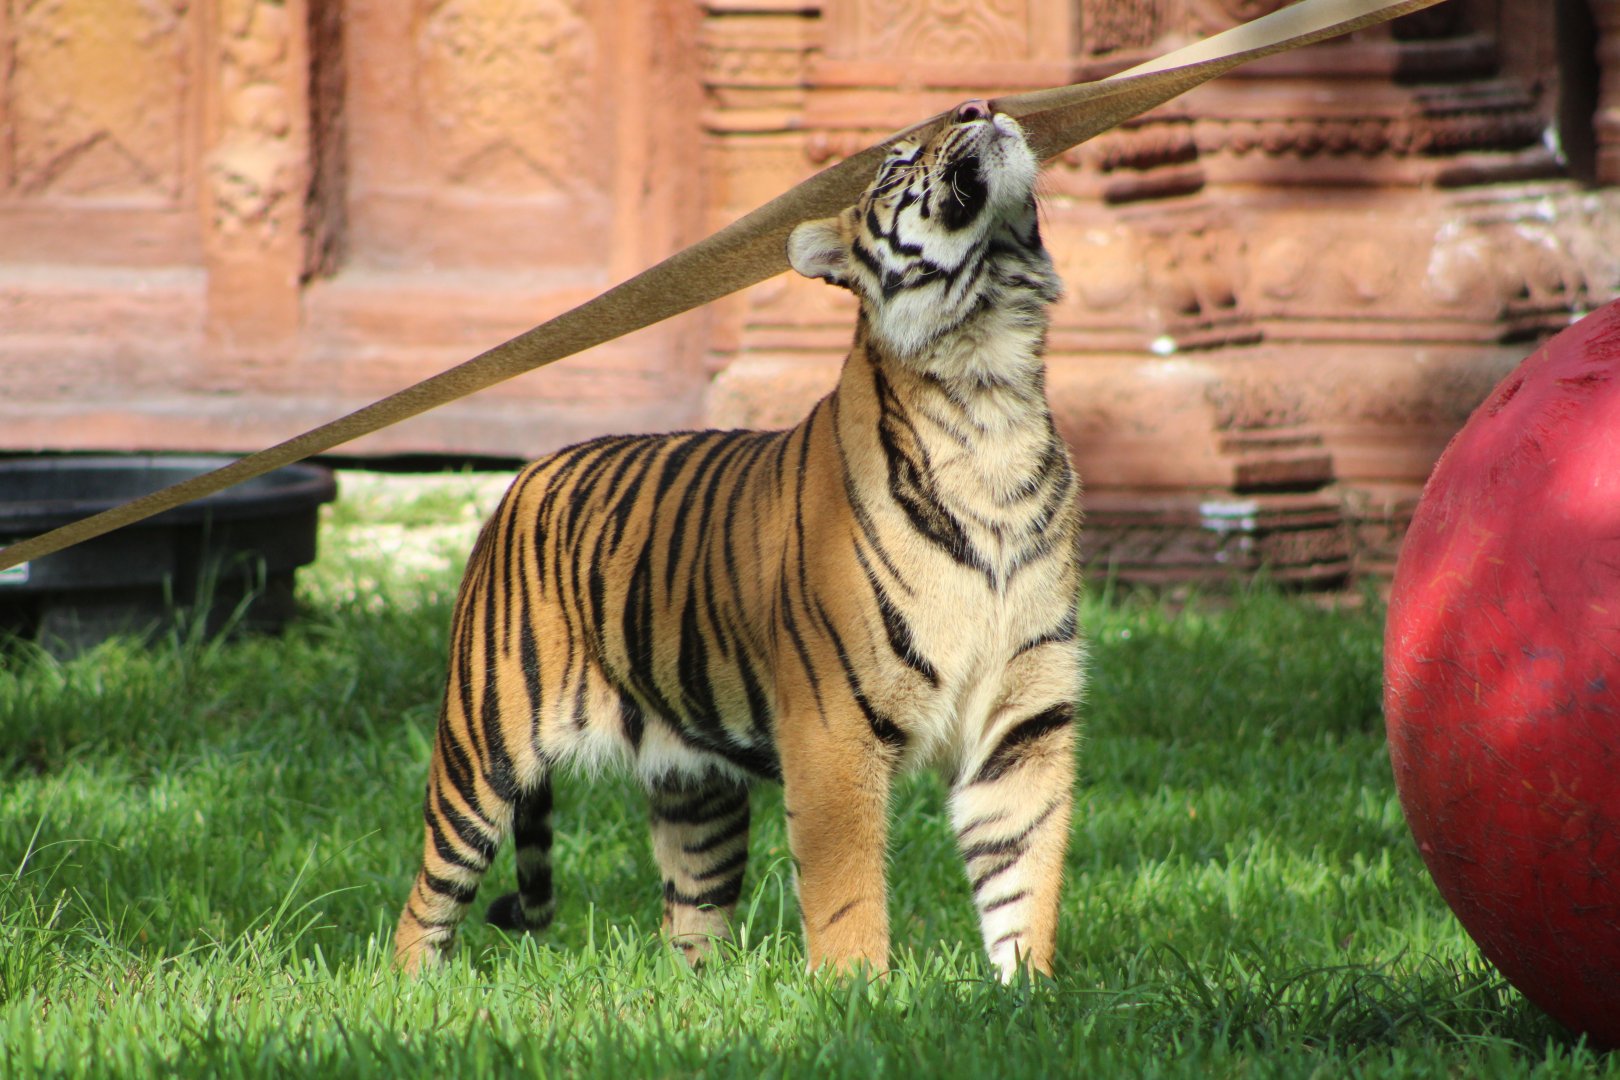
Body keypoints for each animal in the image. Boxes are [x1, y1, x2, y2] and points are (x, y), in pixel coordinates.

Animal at [394, 99, 1084, 981]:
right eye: (896, 164)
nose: (980, 106)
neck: (990, 379)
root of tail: (524, 475)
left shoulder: (1026, 720)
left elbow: (1024, 873)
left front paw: (1025, 991)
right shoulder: (834, 731)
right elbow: (848, 891)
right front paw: (864, 995)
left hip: (696, 784)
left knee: (690, 913)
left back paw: (703, 993)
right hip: (482, 747)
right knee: (426, 899)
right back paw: (415, 990)